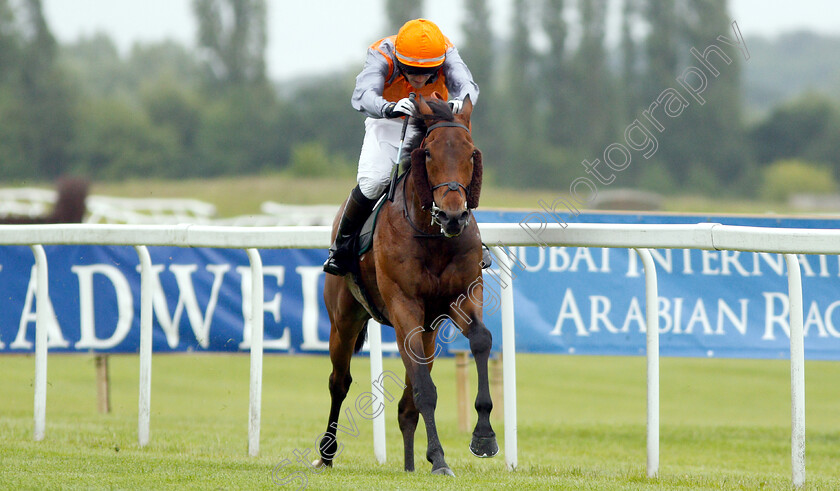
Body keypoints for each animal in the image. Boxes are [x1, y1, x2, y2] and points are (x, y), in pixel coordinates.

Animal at [318, 94, 496, 474]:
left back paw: (412, 463)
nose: (453, 215)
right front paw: (440, 458)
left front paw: (484, 436)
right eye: (428, 153)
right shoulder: (404, 307)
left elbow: (481, 340)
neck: (433, 236)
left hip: (428, 332)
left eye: (471, 153)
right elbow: (425, 390)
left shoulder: (462, 296)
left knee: (405, 403)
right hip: (344, 320)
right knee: (339, 382)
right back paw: (326, 452)